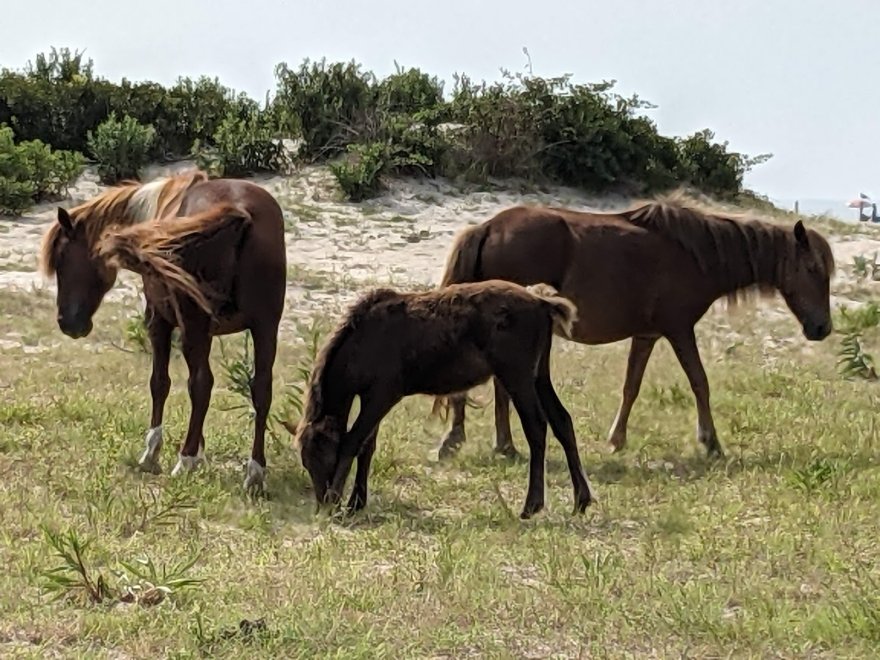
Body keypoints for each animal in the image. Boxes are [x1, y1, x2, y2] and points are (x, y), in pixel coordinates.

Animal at [39, 173, 288, 492]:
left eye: (62, 259)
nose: (67, 323)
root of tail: (241, 211)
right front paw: (201, 451)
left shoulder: (159, 323)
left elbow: (161, 383)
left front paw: (153, 453)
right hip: (265, 328)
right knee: (261, 390)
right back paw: (254, 472)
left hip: (199, 324)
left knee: (202, 383)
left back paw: (185, 460)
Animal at [286, 278, 596, 520]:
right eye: (305, 461)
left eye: (324, 456)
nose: (322, 504)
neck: (360, 344)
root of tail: (542, 303)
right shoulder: (371, 398)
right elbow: (367, 446)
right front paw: (356, 503)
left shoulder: (383, 395)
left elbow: (353, 441)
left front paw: (341, 500)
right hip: (539, 374)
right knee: (562, 421)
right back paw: (581, 500)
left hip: (516, 375)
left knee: (537, 427)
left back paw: (532, 505)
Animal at [436, 188, 836, 462]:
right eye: (812, 269)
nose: (822, 328)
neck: (696, 255)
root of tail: (488, 227)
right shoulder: (679, 330)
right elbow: (700, 383)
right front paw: (711, 443)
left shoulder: (647, 336)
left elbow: (631, 386)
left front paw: (616, 439)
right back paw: (484, 443)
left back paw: (493, 443)